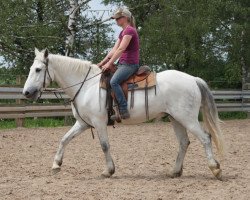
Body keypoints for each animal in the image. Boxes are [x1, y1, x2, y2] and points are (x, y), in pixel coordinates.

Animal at [22, 48, 224, 180]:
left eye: (38, 70)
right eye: (31, 69)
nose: (27, 92)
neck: (86, 85)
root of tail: (193, 79)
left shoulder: (99, 122)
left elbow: (104, 146)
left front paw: (108, 171)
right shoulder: (83, 123)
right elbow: (64, 139)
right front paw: (56, 164)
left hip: (187, 118)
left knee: (205, 138)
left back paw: (215, 169)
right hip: (176, 119)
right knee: (184, 142)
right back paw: (175, 171)